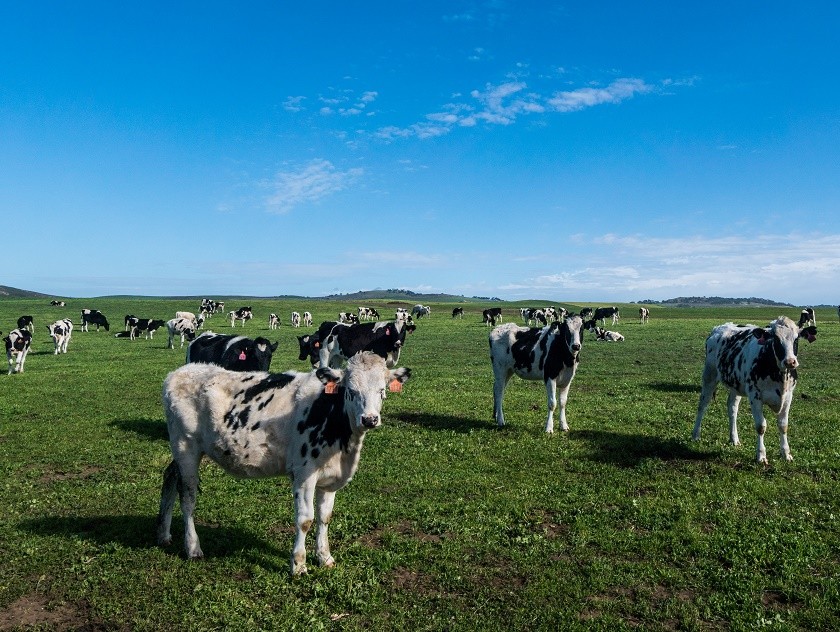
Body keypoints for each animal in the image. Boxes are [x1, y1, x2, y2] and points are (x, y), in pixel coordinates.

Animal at [157, 352, 411, 576]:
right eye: (350, 390)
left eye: (382, 390)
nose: (369, 419)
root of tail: (180, 372)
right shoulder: (304, 473)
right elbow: (305, 520)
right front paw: (298, 565)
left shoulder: (330, 478)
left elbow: (324, 517)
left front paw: (325, 557)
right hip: (186, 446)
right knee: (188, 497)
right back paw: (193, 547)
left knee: (169, 477)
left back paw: (163, 535)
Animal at [691, 316, 818, 463]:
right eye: (775, 339)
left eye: (796, 339)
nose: (790, 362)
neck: (780, 376)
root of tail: (718, 328)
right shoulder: (755, 396)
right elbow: (761, 426)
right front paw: (761, 455)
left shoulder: (788, 396)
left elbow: (783, 425)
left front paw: (786, 454)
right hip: (709, 376)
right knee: (703, 405)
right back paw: (695, 434)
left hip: (736, 384)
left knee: (732, 407)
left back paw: (734, 439)